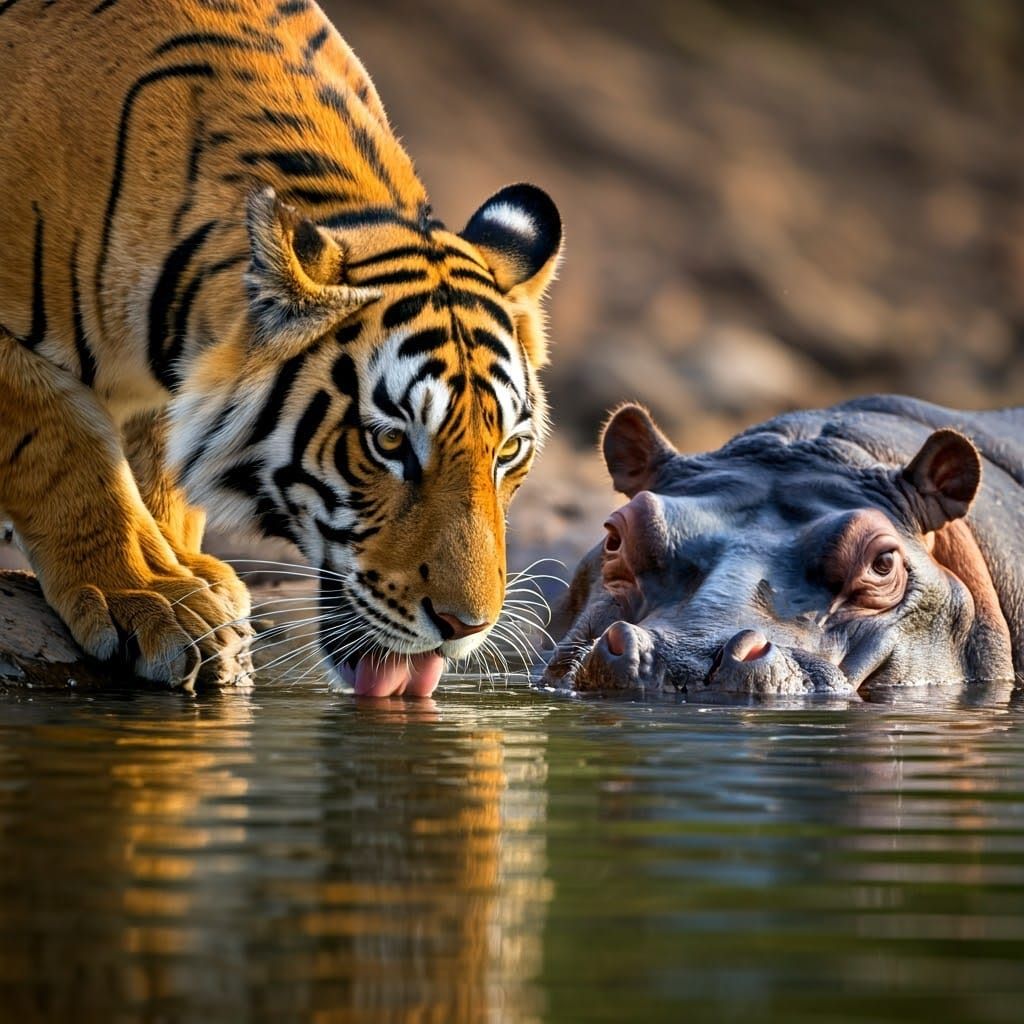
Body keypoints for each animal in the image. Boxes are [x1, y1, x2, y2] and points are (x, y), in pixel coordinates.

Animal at [0, 0, 562, 695]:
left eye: (508, 450)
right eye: (389, 443)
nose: (466, 626)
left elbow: (157, 460)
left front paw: (191, 577)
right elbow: (67, 440)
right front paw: (153, 597)